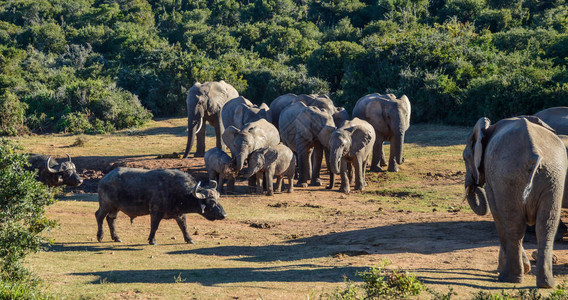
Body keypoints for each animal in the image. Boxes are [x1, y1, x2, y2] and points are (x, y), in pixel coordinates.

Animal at [96, 168, 226, 245]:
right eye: (211, 202)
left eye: (218, 200)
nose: (224, 215)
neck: (176, 191)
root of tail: (104, 179)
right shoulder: (155, 212)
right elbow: (154, 226)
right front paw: (152, 240)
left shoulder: (179, 214)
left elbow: (184, 226)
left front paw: (189, 239)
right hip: (106, 204)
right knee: (99, 216)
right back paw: (100, 236)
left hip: (116, 208)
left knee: (110, 219)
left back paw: (116, 237)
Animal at [464, 116, 564, 288]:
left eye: (465, 158)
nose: (474, 184)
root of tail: (534, 153)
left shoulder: (494, 181)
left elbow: (497, 213)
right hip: (554, 176)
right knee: (546, 226)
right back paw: (546, 284)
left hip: (508, 175)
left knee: (514, 226)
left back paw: (508, 278)